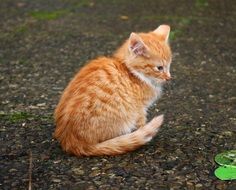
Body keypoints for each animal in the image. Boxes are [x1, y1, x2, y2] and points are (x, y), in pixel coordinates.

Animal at [54, 24, 171, 156]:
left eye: (169, 66)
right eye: (159, 68)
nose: (169, 78)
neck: (131, 72)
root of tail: (71, 141)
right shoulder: (139, 108)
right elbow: (141, 123)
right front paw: (143, 131)